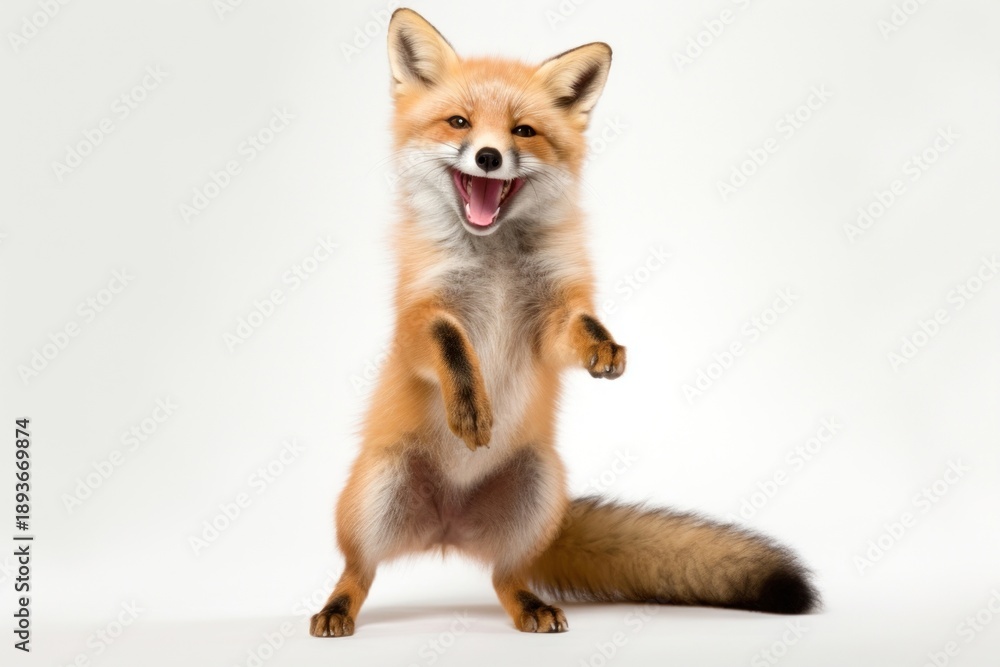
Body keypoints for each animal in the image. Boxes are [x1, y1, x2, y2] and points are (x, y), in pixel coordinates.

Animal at [310, 8, 819, 637]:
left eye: (523, 131)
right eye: (459, 123)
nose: (487, 156)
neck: (496, 258)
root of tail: (447, 532)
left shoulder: (550, 318)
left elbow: (581, 326)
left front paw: (605, 348)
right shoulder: (417, 318)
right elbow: (451, 343)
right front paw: (471, 404)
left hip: (538, 489)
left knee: (505, 576)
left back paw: (530, 605)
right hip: (374, 495)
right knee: (359, 570)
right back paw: (336, 608)